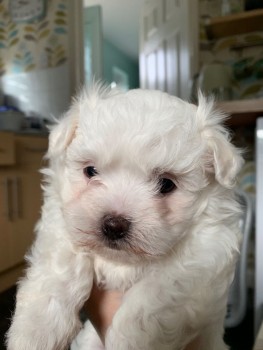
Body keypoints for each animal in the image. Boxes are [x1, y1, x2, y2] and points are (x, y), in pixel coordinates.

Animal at [6, 85, 245, 350]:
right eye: (90, 171)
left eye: (166, 184)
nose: (113, 225)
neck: (122, 261)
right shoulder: (61, 218)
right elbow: (60, 263)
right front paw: (37, 329)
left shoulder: (204, 253)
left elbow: (157, 294)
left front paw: (132, 339)